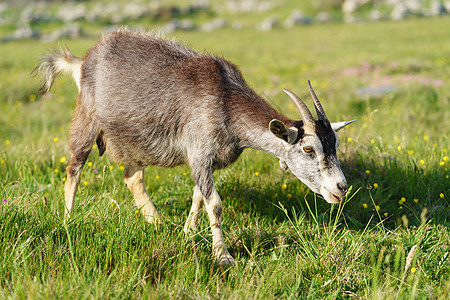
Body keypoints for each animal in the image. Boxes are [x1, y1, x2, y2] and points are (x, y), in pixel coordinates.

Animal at [34, 29, 356, 264]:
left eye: (335, 143)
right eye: (308, 149)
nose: (341, 187)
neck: (225, 101)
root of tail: (82, 61)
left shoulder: (205, 161)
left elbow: (199, 197)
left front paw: (188, 233)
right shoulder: (200, 151)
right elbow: (215, 204)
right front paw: (223, 256)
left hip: (136, 139)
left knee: (132, 177)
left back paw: (157, 222)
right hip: (86, 120)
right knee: (74, 169)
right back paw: (68, 219)